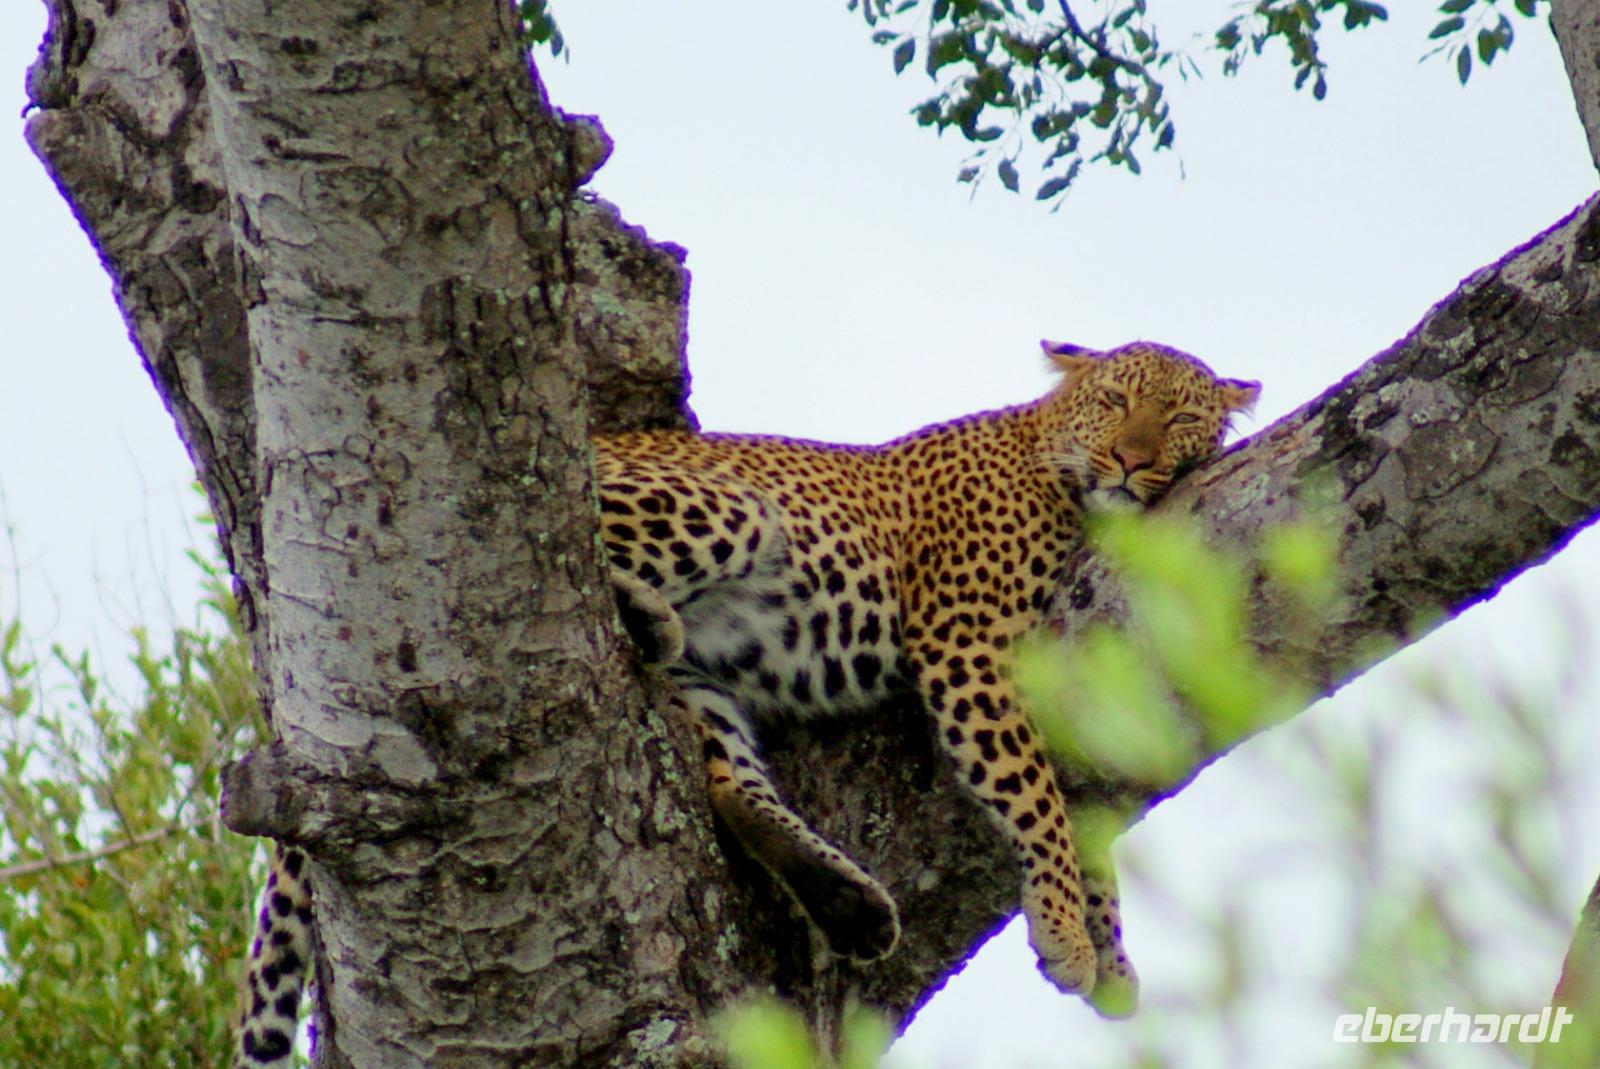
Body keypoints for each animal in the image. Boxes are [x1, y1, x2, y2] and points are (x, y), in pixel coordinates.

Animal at [231, 339, 1257, 1066]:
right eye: (1116, 401)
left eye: (1177, 417)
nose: (1128, 461)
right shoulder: (971, 648)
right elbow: (1038, 797)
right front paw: (1066, 933)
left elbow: (1083, 821)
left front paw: (1111, 954)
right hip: (725, 505)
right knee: (563, 549)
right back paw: (644, 612)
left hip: (710, 678)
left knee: (725, 776)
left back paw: (845, 901)